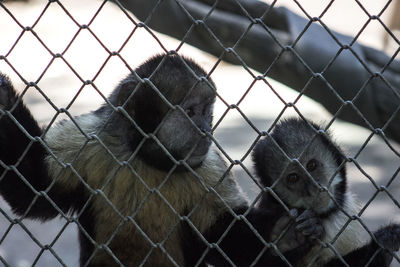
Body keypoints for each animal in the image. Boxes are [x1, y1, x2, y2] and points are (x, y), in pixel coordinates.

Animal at [0, 54, 322, 267]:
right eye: (191, 112)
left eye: (208, 112)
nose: (206, 129)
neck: (148, 159)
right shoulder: (89, 139)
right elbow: (35, 190)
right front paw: (3, 100)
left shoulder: (208, 167)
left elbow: (221, 233)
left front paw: (284, 235)